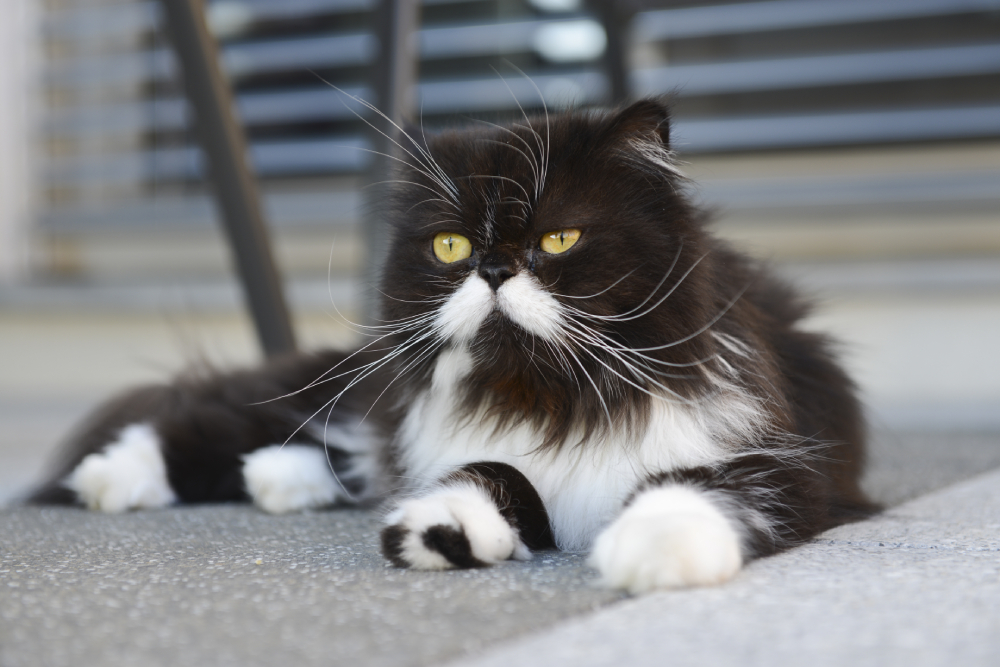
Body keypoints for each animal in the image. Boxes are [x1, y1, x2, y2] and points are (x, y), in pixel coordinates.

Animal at [29, 100, 876, 596]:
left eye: (558, 239)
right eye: (450, 245)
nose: (494, 269)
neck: (551, 397)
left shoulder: (779, 464)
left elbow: (693, 487)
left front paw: (649, 547)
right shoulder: (481, 441)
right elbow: (493, 471)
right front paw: (442, 529)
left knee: (329, 451)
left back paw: (279, 479)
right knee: (209, 425)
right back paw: (110, 477)